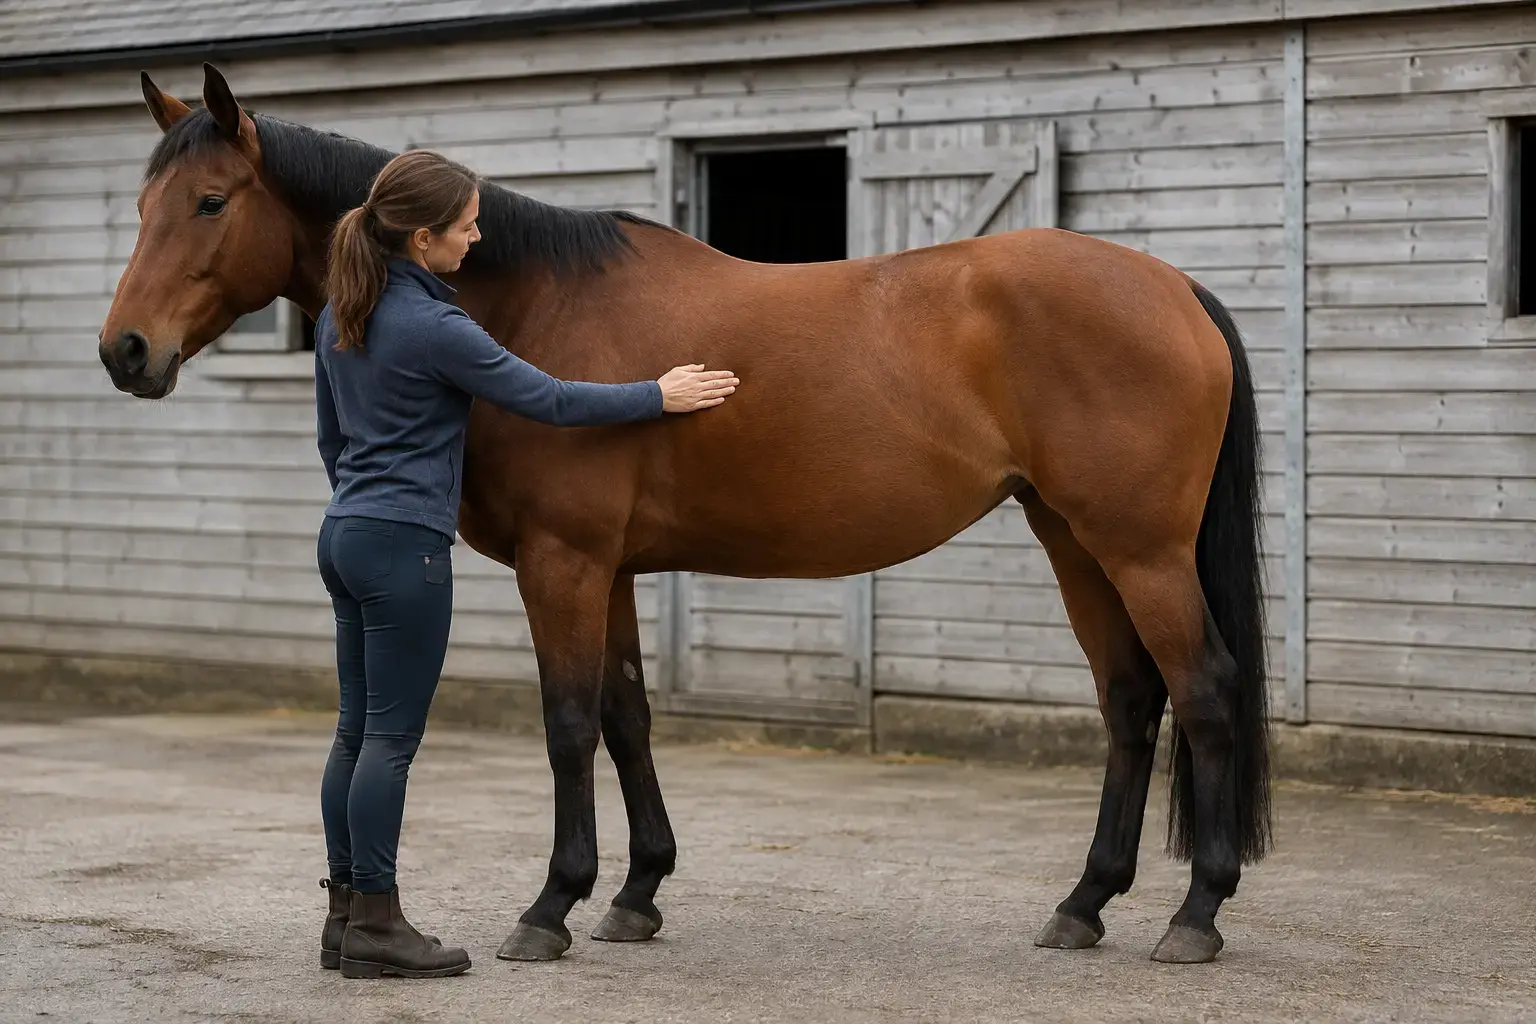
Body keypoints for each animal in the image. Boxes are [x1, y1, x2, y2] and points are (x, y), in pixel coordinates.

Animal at [99, 63, 1271, 966]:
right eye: (144, 205)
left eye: (211, 203)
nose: (125, 352)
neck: (531, 306)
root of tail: (1175, 289)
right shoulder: (607, 568)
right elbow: (627, 717)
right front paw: (635, 895)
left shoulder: (563, 563)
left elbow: (569, 724)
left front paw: (551, 907)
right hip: (1073, 537)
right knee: (1131, 700)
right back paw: (1084, 905)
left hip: (1139, 548)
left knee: (1205, 691)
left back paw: (1196, 914)